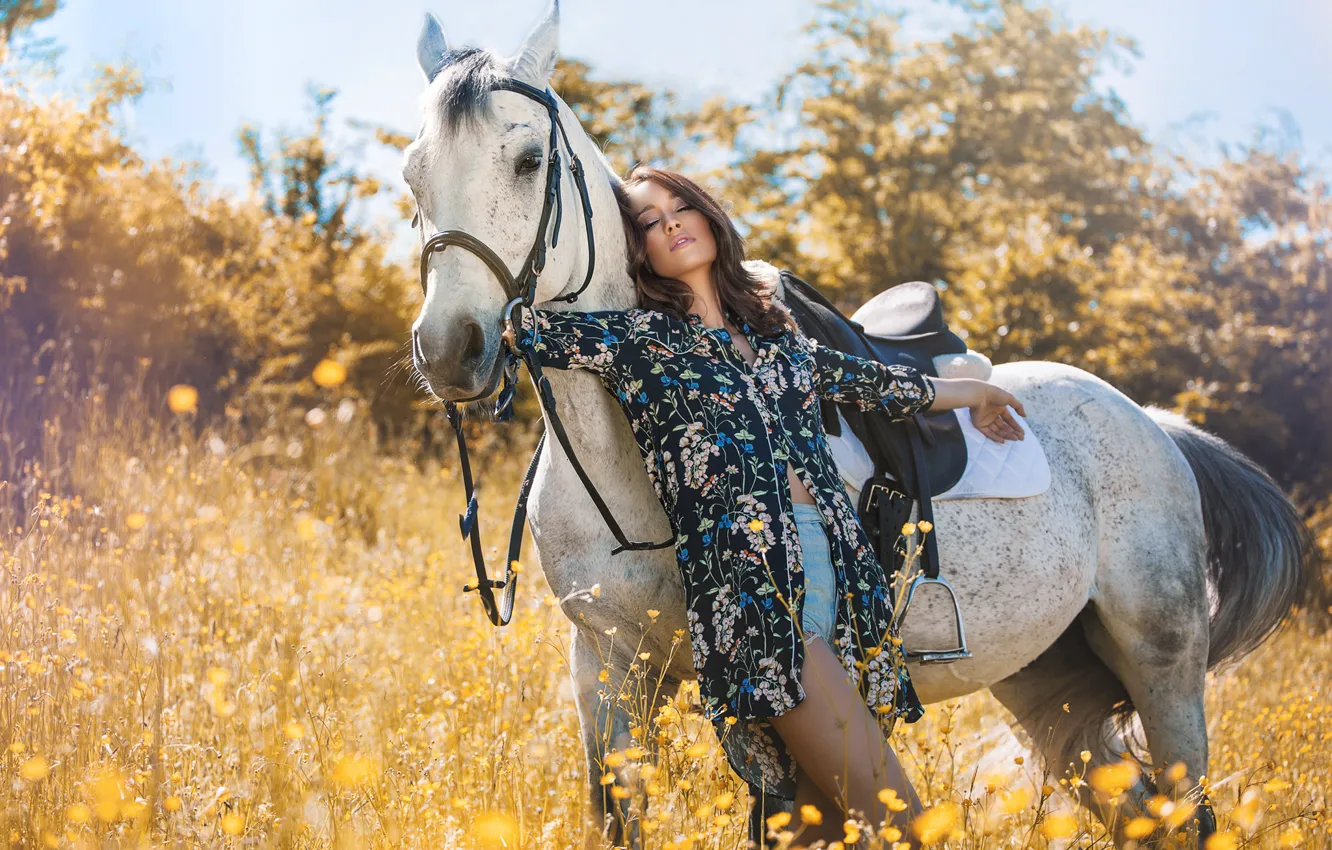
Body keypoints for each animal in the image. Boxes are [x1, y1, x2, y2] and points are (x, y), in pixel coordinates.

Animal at [399, 3, 1316, 847]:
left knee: (1188, 806)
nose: (450, 349)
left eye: (528, 160)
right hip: (1048, 680)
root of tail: (1156, 427)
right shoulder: (607, 668)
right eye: (413, 177)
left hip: (1163, 662)